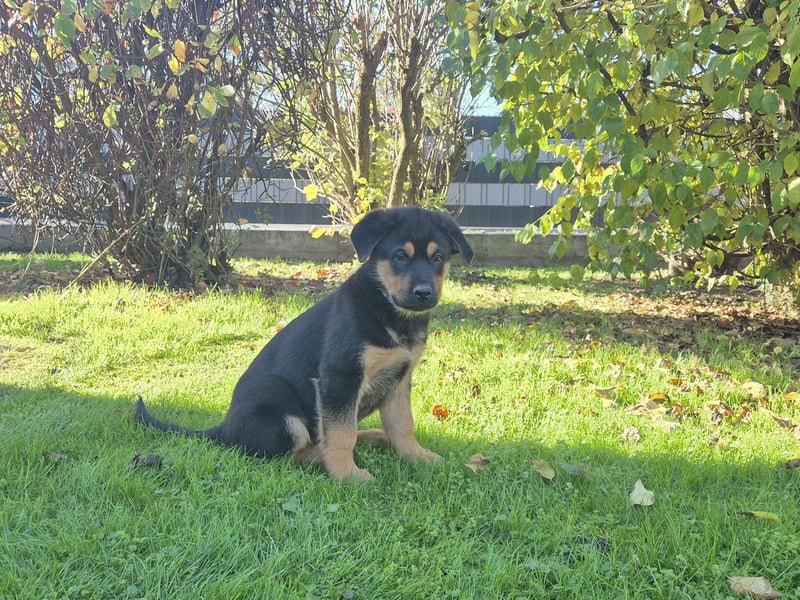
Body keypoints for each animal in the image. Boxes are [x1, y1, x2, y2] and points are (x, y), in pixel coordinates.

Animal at [134, 209, 472, 480]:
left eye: (438, 258)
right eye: (400, 256)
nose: (424, 293)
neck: (388, 309)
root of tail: (224, 428)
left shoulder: (400, 378)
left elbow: (402, 424)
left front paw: (417, 456)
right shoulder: (339, 377)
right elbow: (341, 434)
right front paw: (347, 474)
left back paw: (374, 437)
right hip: (275, 397)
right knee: (288, 453)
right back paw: (324, 457)